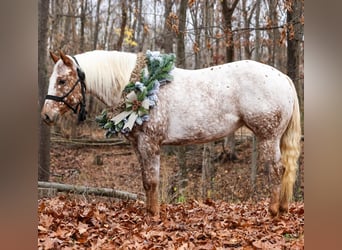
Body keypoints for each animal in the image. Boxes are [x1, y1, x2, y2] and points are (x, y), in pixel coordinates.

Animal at [41, 49, 300, 216]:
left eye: (62, 80)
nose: (46, 115)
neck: (136, 86)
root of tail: (284, 78)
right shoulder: (138, 145)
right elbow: (146, 181)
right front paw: (149, 213)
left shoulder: (150, 143)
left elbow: (152, 181)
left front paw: (154, 217)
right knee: (284, 171)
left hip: (268, 137)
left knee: (276, 171)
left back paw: (273, 211)